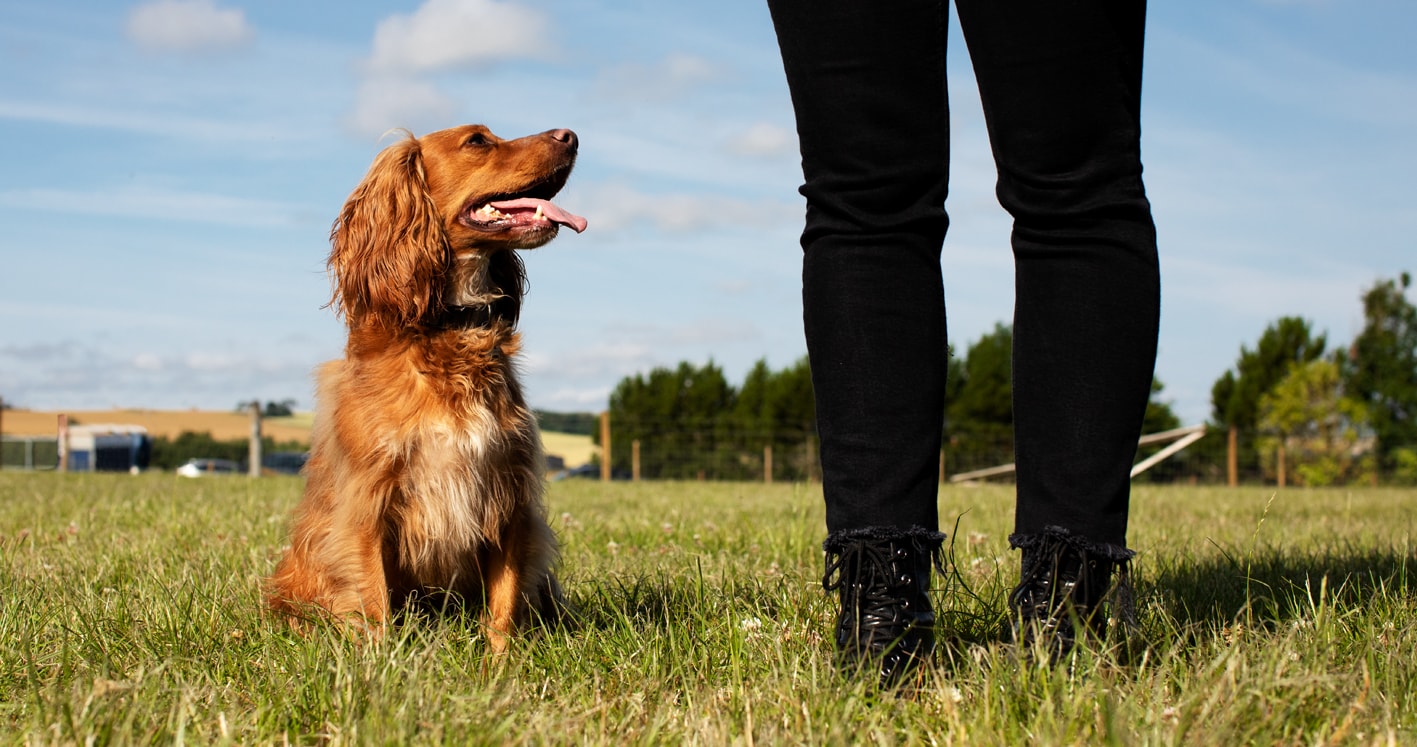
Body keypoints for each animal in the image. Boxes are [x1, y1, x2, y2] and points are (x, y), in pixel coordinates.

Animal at [266, 125, 586, 652]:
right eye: (477, 141)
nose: (571, 135)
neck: (450, 329)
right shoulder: (368, 501)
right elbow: (373, 601)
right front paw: (382, 661)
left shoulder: (509, 497)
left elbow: (503, 609)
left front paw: (501, 664)